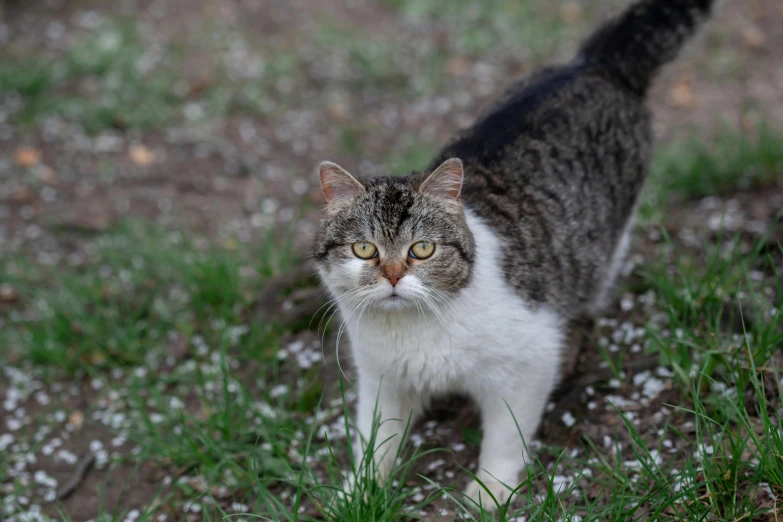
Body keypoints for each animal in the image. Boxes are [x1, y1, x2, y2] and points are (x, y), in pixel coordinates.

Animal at [312, 0, 716, 508]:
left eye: (422, 249)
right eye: (364, 249)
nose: (392, 276)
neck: (415, 332)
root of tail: (593, 64)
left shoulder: (530, 360)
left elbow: (507, 435)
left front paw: (490, 489)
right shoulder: (381, 377)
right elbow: (374, 438)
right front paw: (359, 490)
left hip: (604, 248)